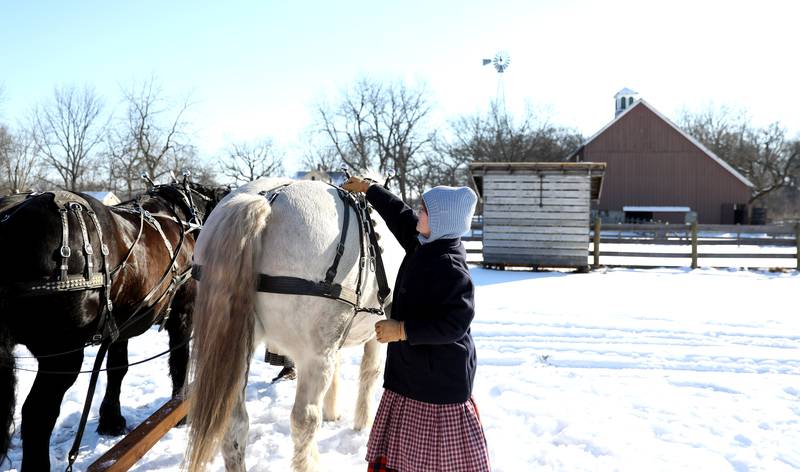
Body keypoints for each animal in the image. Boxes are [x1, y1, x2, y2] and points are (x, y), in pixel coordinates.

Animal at [0, 180, 228, 468]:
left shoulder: (122, 324)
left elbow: (117, 368)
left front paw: (111, 420)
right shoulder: (184, 310)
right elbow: (179, 360)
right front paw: (180, 411)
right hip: (62, 356)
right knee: (37, 415)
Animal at [186, 179, 400, 470]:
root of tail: (267, 198)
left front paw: (334, 412)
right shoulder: (372, 333)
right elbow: (370, 373)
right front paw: (362, 424)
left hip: (239, 347)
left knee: (234, 425)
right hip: (313, 354)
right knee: (304, 420)